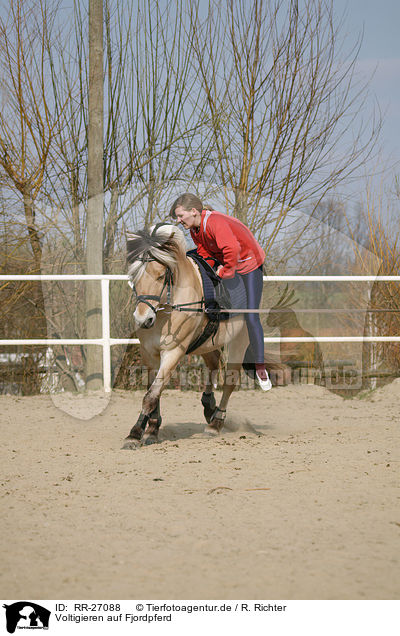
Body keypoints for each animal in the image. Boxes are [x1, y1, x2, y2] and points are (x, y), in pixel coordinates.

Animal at [122, 224, 250, 448]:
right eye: (135, 276)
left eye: (161, 275)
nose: (143, 319)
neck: (166, 309)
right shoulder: (149, 354)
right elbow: (153, 391)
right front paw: (152, 429)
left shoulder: (173, 353)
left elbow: (150, 395)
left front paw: (136, 433)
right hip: (206, 344)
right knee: (213, 363)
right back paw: (209, 407)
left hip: (238, 343)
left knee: (230, 381)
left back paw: (216, 423)